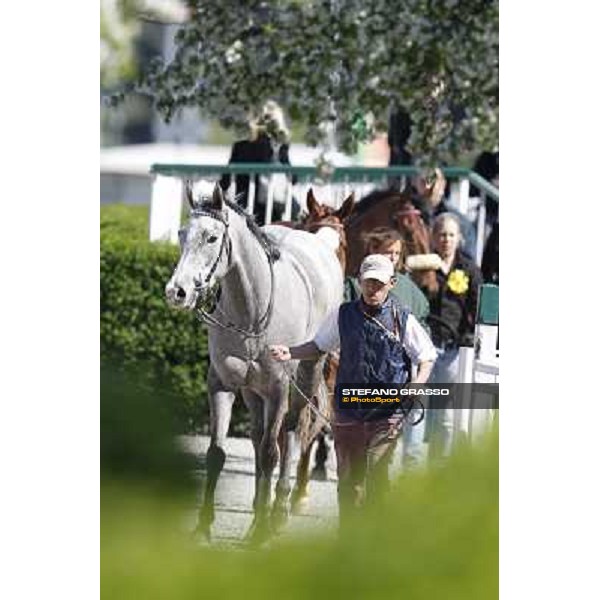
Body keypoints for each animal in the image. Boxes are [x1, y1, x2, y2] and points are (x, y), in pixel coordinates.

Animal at [165, 183, 342, 544]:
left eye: (212, 238)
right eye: (182, 234)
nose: (177, 291)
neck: (252, 310)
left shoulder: (277, 389)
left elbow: (272, 452)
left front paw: (263, 529)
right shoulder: (222, 386)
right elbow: (217, 454)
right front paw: (204, 526)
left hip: (304, 377)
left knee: (290, 432)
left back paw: (279, 511)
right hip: (253, 393)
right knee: (260, 438)